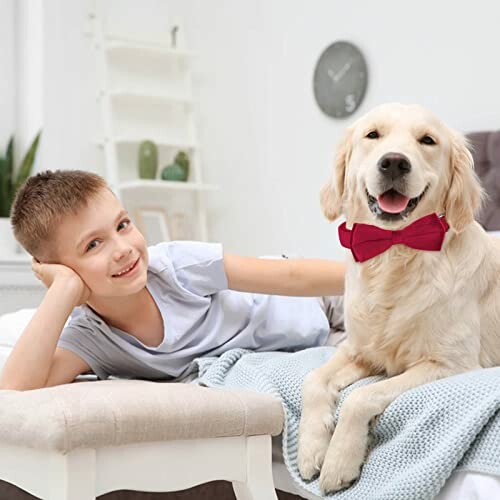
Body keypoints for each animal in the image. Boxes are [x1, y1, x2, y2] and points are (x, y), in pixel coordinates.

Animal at [296, 101, 500, 492]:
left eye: (428, 140)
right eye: (372, 135)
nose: (393, 162)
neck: (395, 252)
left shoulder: (450, 364)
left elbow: (361, 396)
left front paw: (339, 460)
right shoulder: (358, 350)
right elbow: (312, 380)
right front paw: (311, 449)